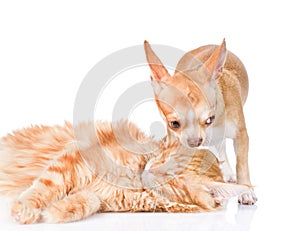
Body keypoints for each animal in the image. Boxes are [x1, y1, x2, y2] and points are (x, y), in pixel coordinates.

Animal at [0, 121, 248, 224]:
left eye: (173, 178)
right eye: (164, 158)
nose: (151, 169)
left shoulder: (102, 198)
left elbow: (87, 201)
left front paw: (58, 211)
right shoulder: (73, 162)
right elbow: (43, 188)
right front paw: (26, 209)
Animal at [144, 39, 256, 204]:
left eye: (210, 119)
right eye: (174, 124)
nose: (195, 142)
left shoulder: (241, 135)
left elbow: (242, 164)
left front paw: (246, 190)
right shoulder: (175, 140)